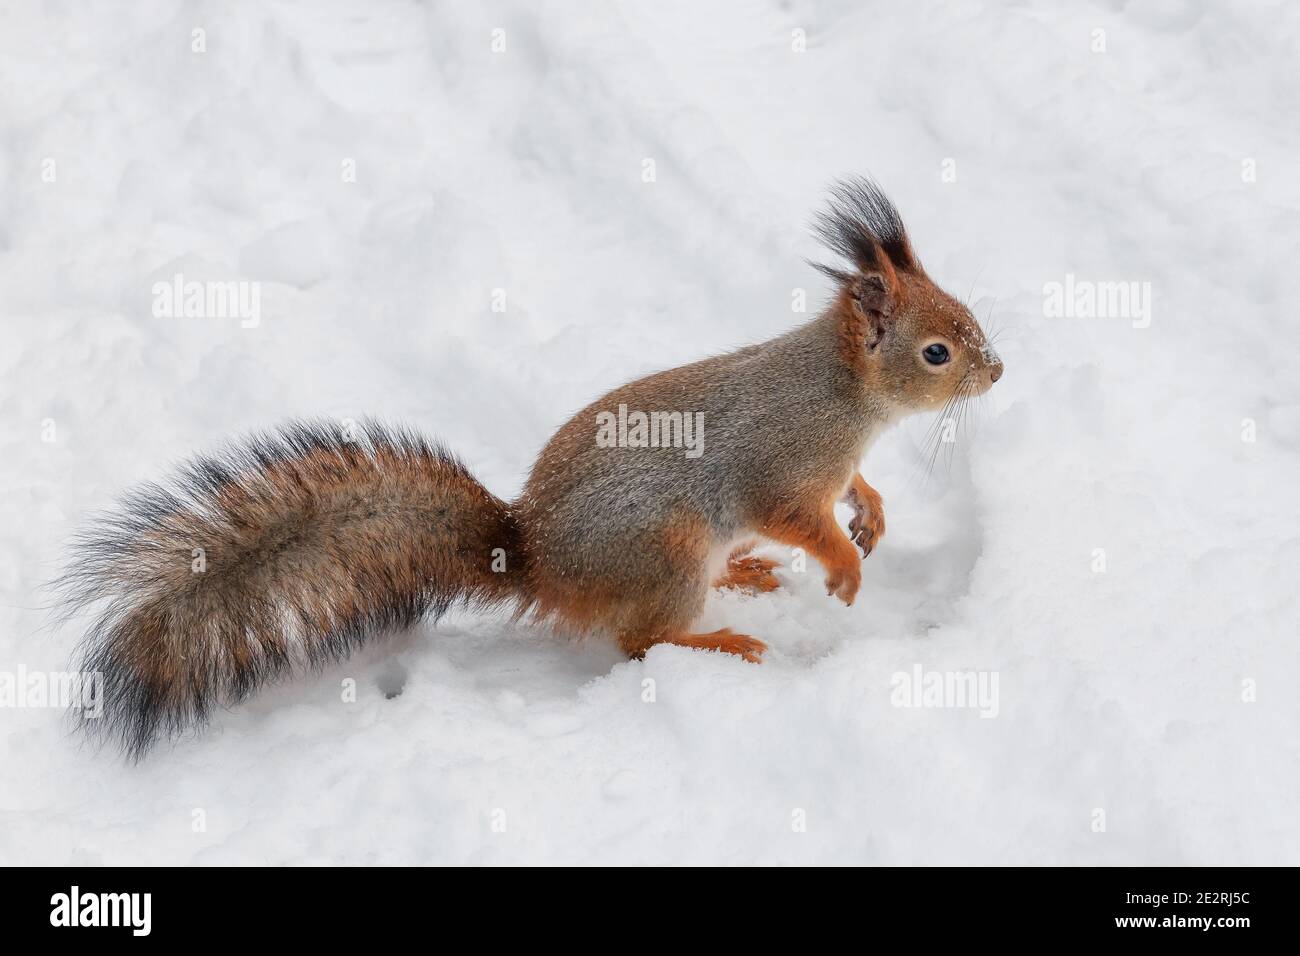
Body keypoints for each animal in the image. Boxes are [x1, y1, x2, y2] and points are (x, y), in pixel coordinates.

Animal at [58, 178, 1003, 757]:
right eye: (937, 351)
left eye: (965, 316)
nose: (997, 371)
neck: (843, 394)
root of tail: (539, 560)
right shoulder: (779, 465)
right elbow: (799, 517)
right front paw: (843, 568)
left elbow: (854, 490)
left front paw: (872, 510)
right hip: (664, 549)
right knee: (639, 640)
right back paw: (723, 638)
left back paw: (744, 577)